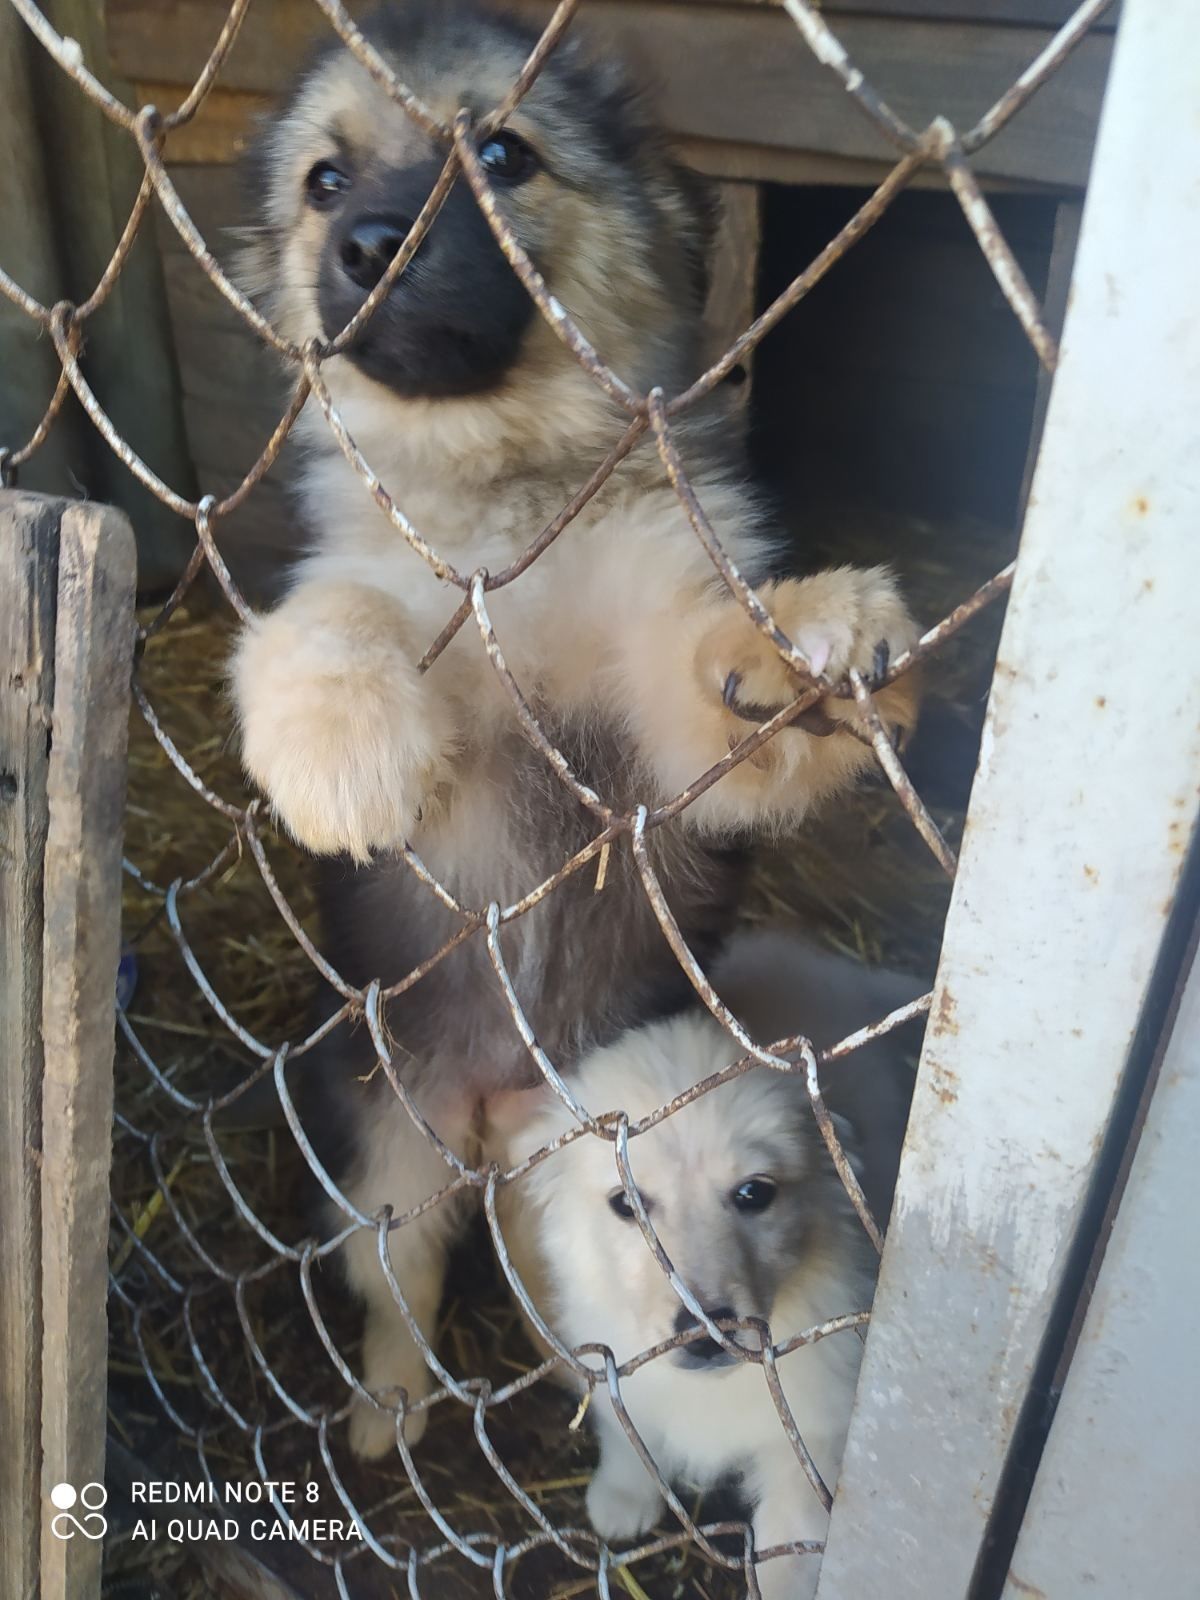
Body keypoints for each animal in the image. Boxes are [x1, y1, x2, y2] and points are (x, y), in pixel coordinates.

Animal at [232, 3, 921, 1465]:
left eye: (504, 155)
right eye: (325, 180)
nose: (369, 244)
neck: (506, 499)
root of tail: (498, 1109)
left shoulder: (663, 731)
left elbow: (705, 660)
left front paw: (800, 638)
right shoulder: (367, 579)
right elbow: (330, 614)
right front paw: (341, 748)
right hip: (389, 1151)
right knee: (402, 1279)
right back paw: (386, 1409)